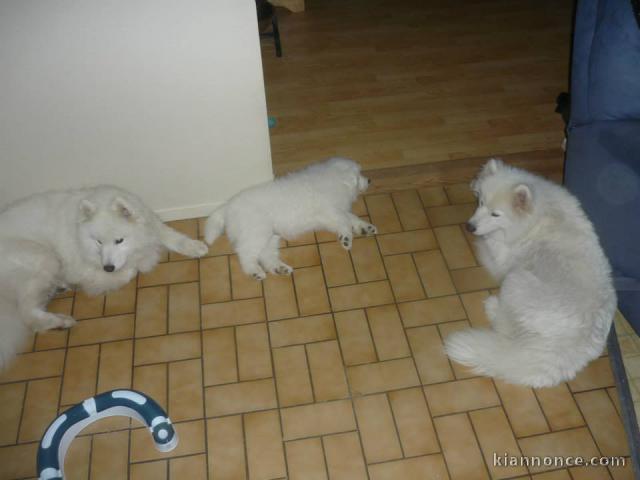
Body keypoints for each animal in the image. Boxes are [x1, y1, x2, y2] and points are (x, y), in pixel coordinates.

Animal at [0, 186, 208, 370]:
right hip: (44, 257)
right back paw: (61, 321)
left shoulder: (151, 225)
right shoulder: (86, 271)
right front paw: (140, 262)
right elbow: (129, 270)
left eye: (119, 240)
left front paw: (195, 246)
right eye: (99, 241)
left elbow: (169, 235)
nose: (108, 267)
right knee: (27, 314)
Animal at [204, 156, 376, 280]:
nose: (369, 180)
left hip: (269, 236)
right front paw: (346, 238)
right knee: (245, 253)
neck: (336, 181)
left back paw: (279, 268)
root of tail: (228, 206)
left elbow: (350, 217)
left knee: (265, 255)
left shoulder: (331, 214)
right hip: (257, 231)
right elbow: (345, 220)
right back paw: (255, 271)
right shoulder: (330, 210)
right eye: (359, 175)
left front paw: (365, 227)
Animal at [444, 159, 616, 388]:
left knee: (504, 326)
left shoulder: (500, 258)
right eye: (480, 202)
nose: (469, 227)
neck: (538, 216)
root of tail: (571, 346)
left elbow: (488, 245)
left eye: (495, 214)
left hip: (515, 280)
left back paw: (492, 307)